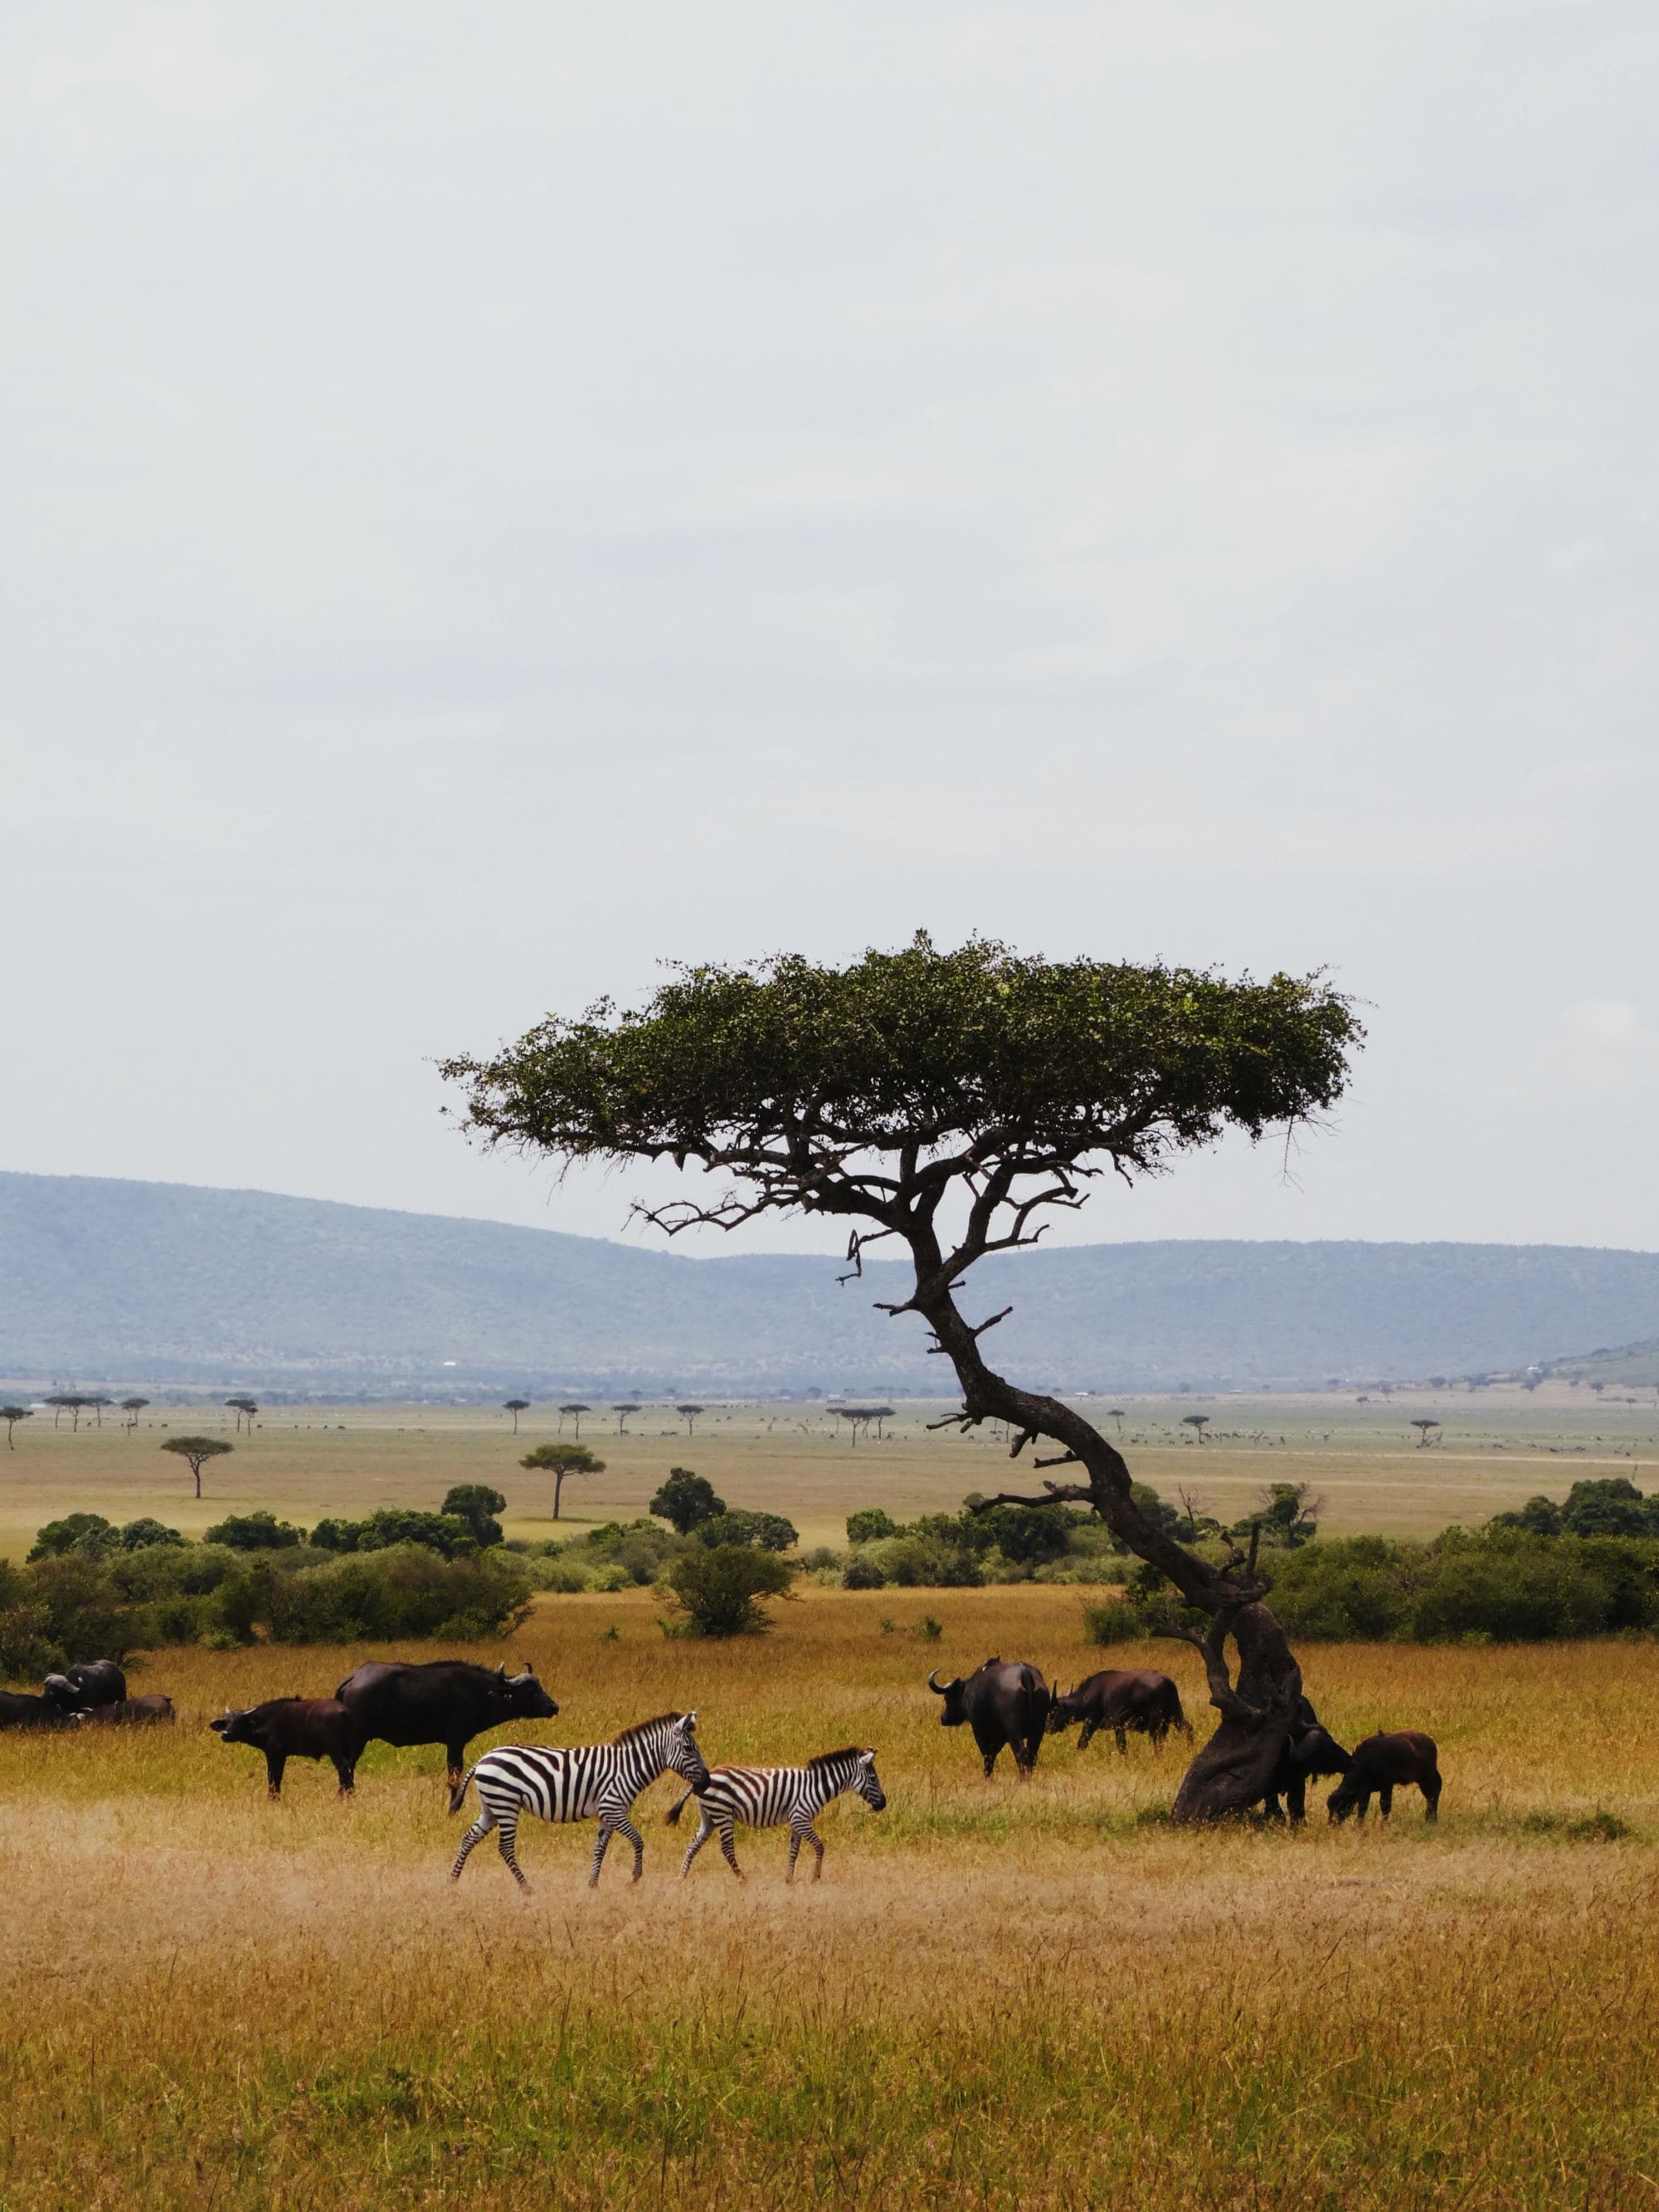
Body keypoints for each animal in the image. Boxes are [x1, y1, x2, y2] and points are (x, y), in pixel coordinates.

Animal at [449, 1711, 710, 1890]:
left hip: (492, 1807)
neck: (627, 1768)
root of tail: (484, 1758)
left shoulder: (607, 1814)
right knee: (505, 1848)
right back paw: (526, 1888)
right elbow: (638, 1840)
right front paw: (635, 1877)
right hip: (506, 1804)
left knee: (468, 1839)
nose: (707, 1782)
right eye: (689, 1749)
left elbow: (600, 1848)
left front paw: (593, 1884)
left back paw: (454, 1881)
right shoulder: (613, 1808)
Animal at [665, 1746, 886, 1882]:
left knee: (693, 1845)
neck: (815, 1787)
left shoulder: (797, 1822)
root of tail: (705, 1777)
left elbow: (794, 1851)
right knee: (727, 1849)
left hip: (709, 1816)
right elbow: (819, 1846)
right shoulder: (800, 1817)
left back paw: (682, 1878)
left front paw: (789, 1879)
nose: (883, 1804)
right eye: (873, 1778)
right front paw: (815, 1877)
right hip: (723, 1813)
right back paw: (742, 1879)